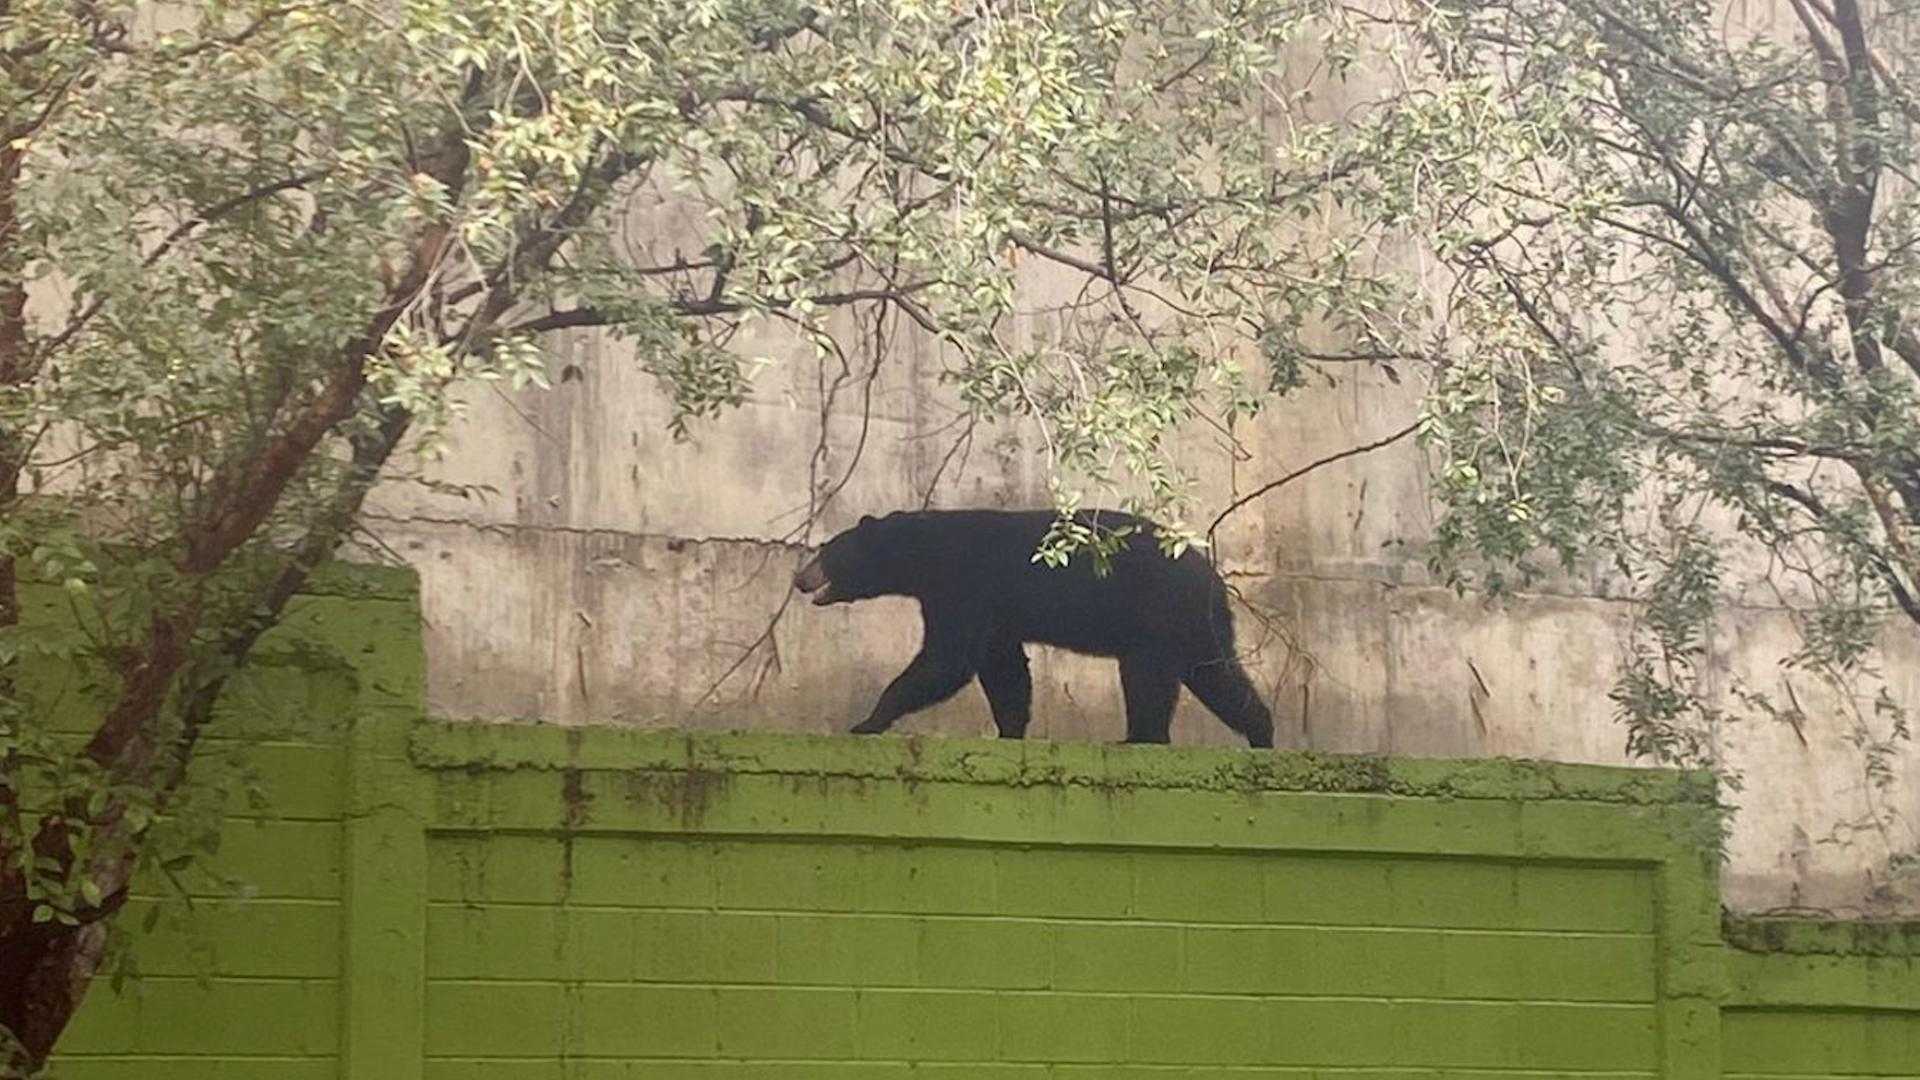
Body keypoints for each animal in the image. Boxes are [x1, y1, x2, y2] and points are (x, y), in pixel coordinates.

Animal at [794, 507, 1274, 745]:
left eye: (825, 550)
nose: (799, 577)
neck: (924, 551)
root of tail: (1214, 578)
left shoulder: (964, 583)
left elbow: (947, 660)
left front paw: (868, 720)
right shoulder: (994, 611)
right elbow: (1003, 668)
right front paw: (1009, 731)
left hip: (1159, 613)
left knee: (1148, 677)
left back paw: (1141, 738)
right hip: (1192, 624)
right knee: (1216, 674)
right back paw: (1261, 732)